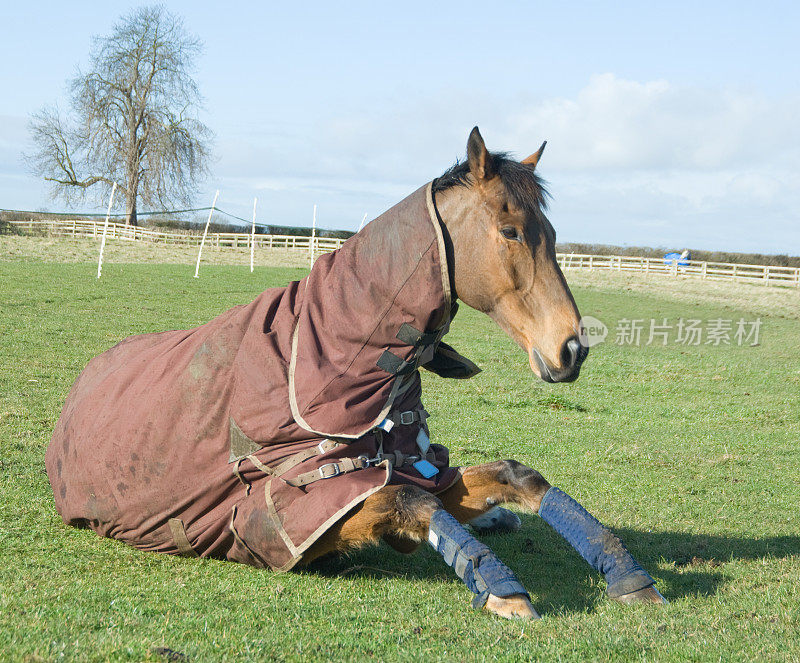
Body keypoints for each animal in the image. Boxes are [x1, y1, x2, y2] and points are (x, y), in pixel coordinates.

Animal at [47, 127, 664, 620]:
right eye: (510, 231)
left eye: (555, 236)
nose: (572, 349)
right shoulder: (283, 523)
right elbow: (413, 505)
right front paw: (498, 585)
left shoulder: (424, 471)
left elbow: (517, 477)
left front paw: (626, 574)